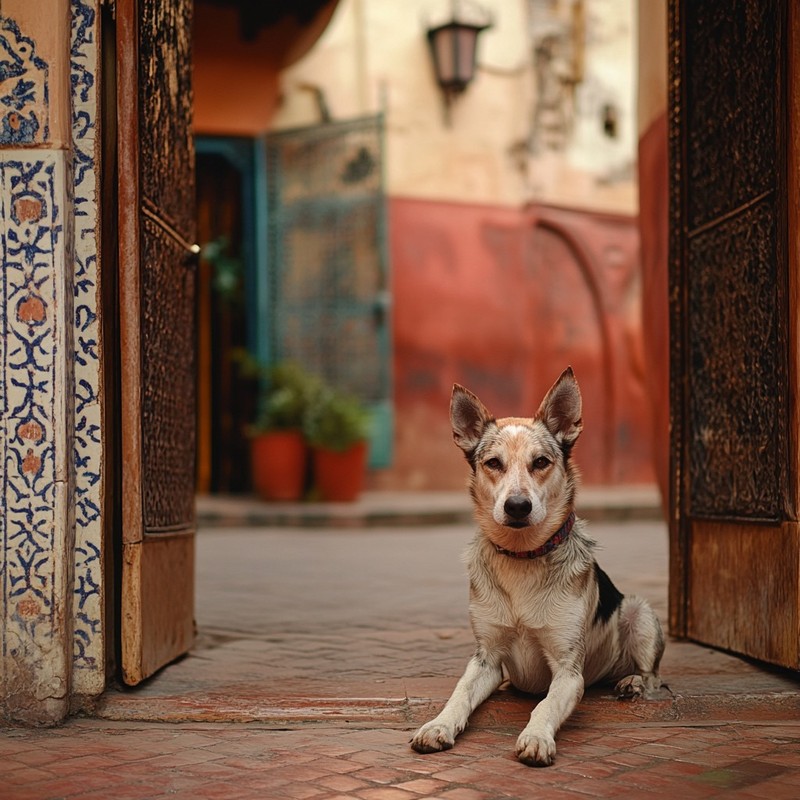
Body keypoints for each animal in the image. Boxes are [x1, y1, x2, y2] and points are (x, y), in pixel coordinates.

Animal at [410, 368, 664, 768]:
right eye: (493, 463)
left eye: (541, 462)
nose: (517, 506)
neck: (522, 558)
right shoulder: (485, 659)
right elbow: (459, 694)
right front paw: (438, 725)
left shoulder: (568, 671)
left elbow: (544, 705)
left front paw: (536, 738)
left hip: (640, 613)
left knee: (651, 676)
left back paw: (632, 683)